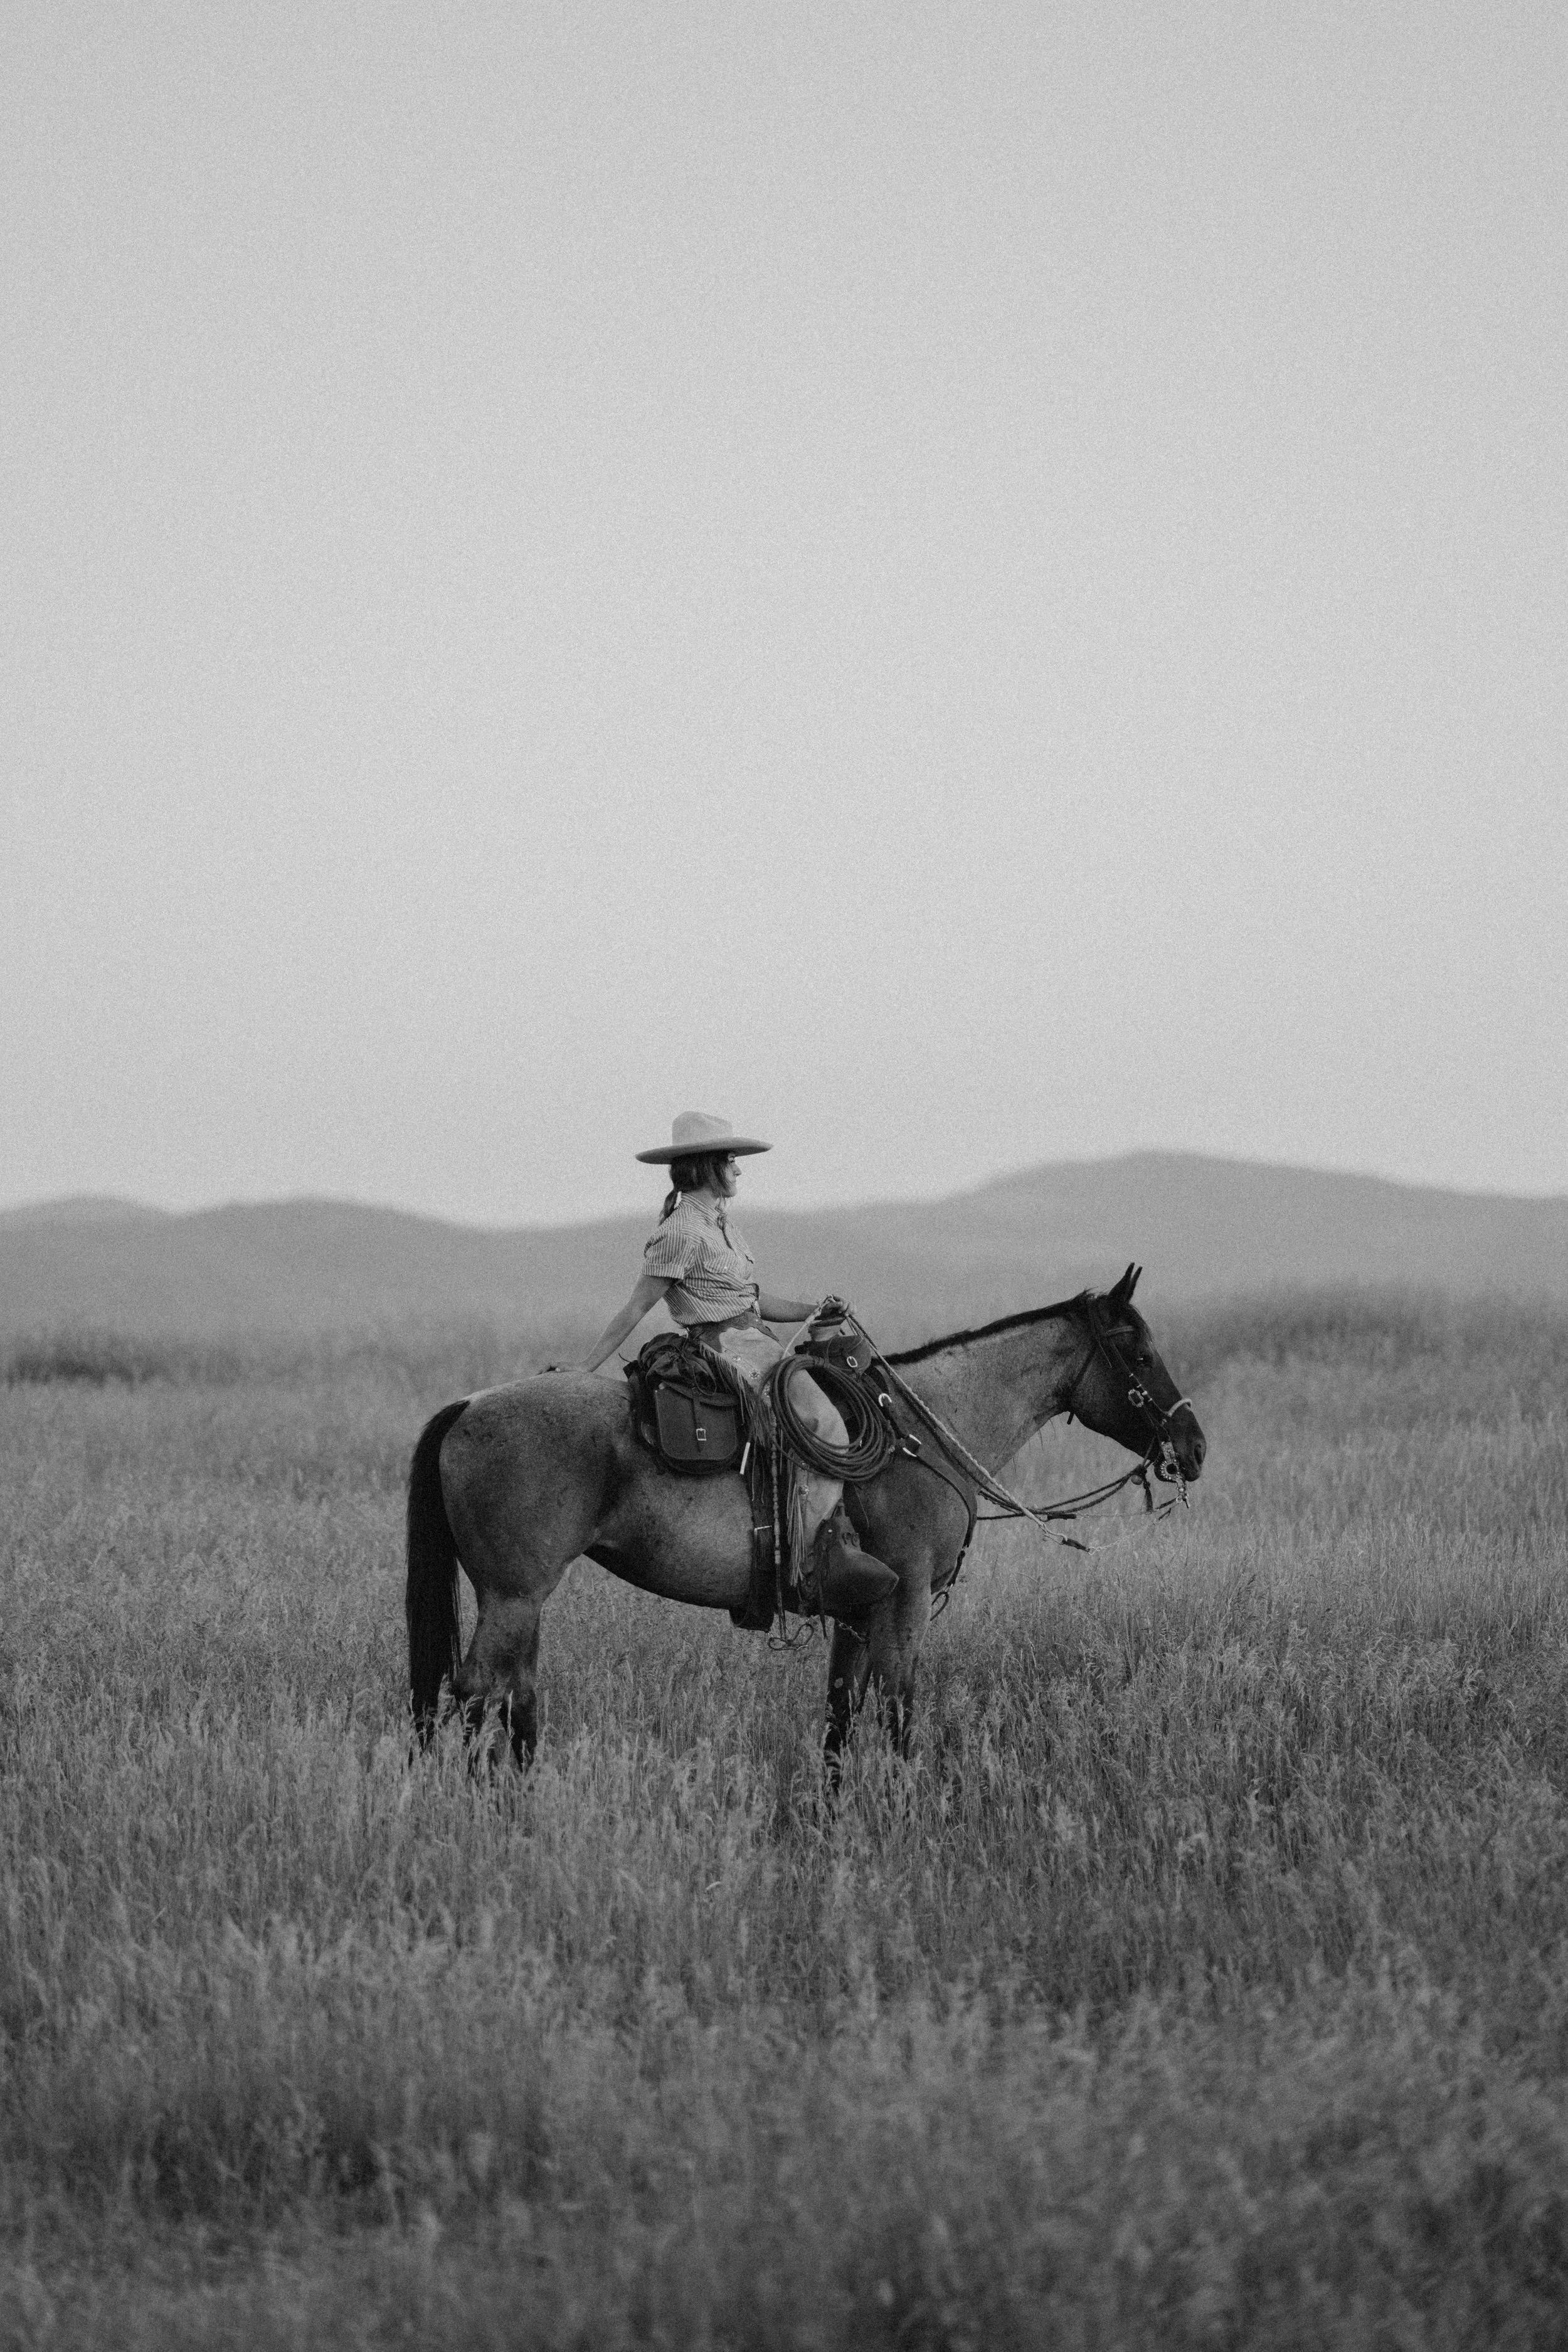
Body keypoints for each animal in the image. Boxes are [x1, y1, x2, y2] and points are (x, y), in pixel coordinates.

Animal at [405, 1264, 1205, 1768]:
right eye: (1139, 1353)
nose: (1193, 1445)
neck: (926, 1432)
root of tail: (467, 1407)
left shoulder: (856, 1610)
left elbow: (840, 1712)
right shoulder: (907, 1597)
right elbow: (897, 1707)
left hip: (519, 1600)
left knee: (515, 1698)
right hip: (514, 1594)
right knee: (474, 1694)